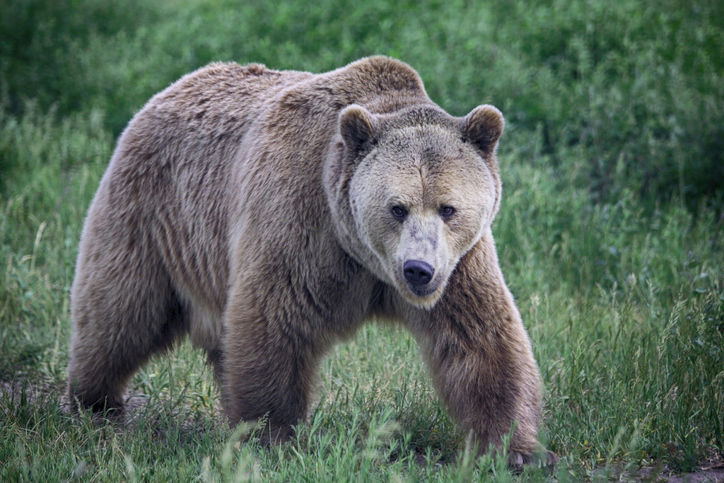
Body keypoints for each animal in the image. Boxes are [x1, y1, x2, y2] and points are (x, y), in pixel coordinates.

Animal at [68, 55, 544, 466]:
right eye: (397, 208)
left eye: (448, 208)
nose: (418, 270)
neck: (363, 256)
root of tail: (173, 87)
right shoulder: (300, 222)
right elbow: (274, 322)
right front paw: (273, 435)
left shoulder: (459, 264)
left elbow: (480, 338)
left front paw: (514, 448)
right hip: (154, 214)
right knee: (120, 309)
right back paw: (94, 401)